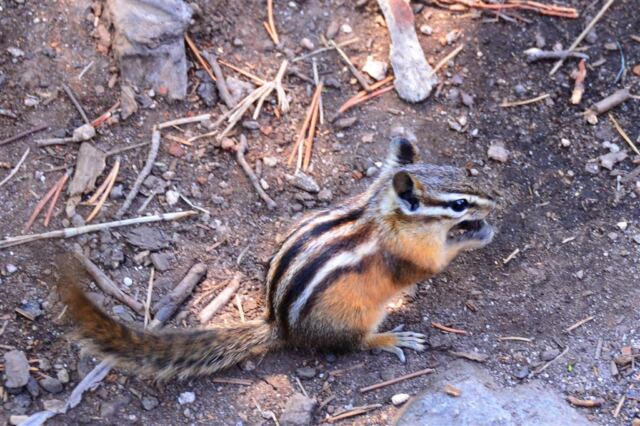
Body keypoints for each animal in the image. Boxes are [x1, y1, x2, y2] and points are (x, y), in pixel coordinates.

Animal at [61, 136, 496, 381]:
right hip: (357, 317)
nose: (495, 200)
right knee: (355, 344)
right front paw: (477, 234)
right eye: (459, 204)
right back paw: (391, 338)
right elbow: (438, 261)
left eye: (459, 170)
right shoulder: (412, 256)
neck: (380, 212)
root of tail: (281, 327)